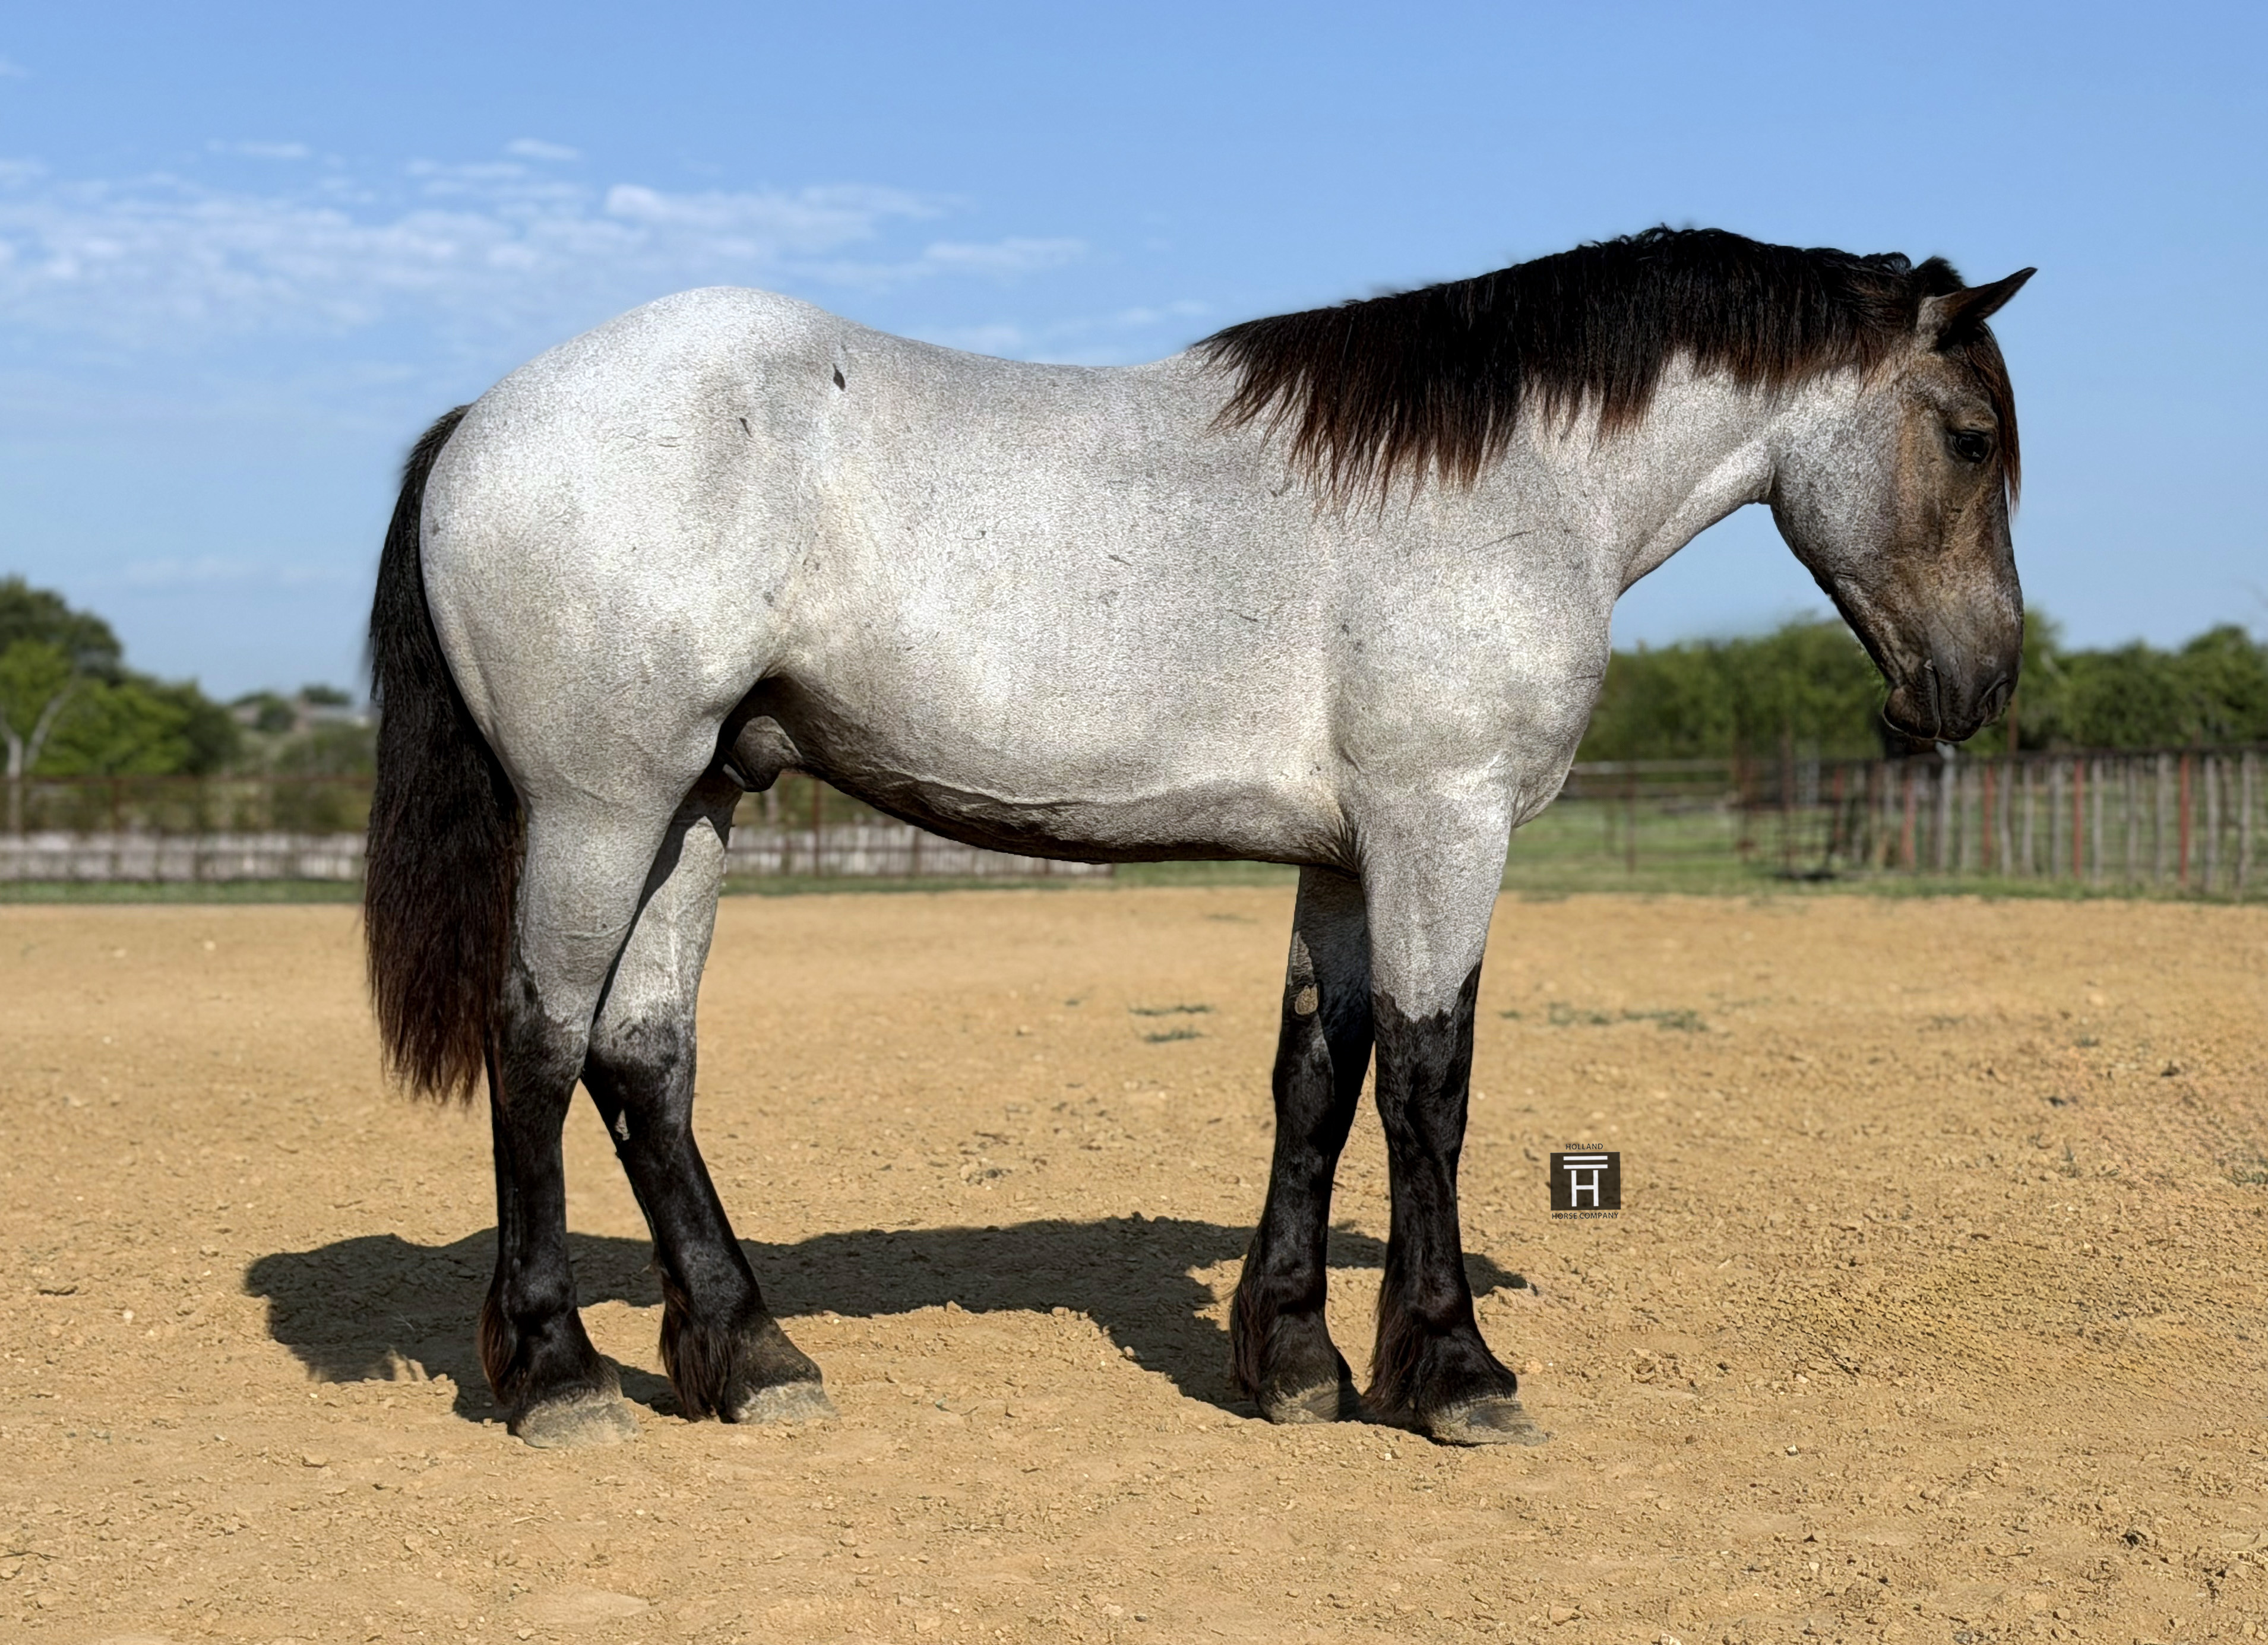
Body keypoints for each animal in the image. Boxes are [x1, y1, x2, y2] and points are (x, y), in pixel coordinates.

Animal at [364, 226, 2030, 1449]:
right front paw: (1454, 1368)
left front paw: (1292, 1358)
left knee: (644, 1056)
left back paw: (752, 1353)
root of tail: (484, 418)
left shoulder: (1349, 852)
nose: (1981, 683)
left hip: (693, 806)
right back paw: (559, 1373)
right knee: (538, 1043)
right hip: (599, 806)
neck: (1502, 485)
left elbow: (1317, 1078)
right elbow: (1429, 1083)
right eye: (1967, 436)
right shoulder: (1444, 822)